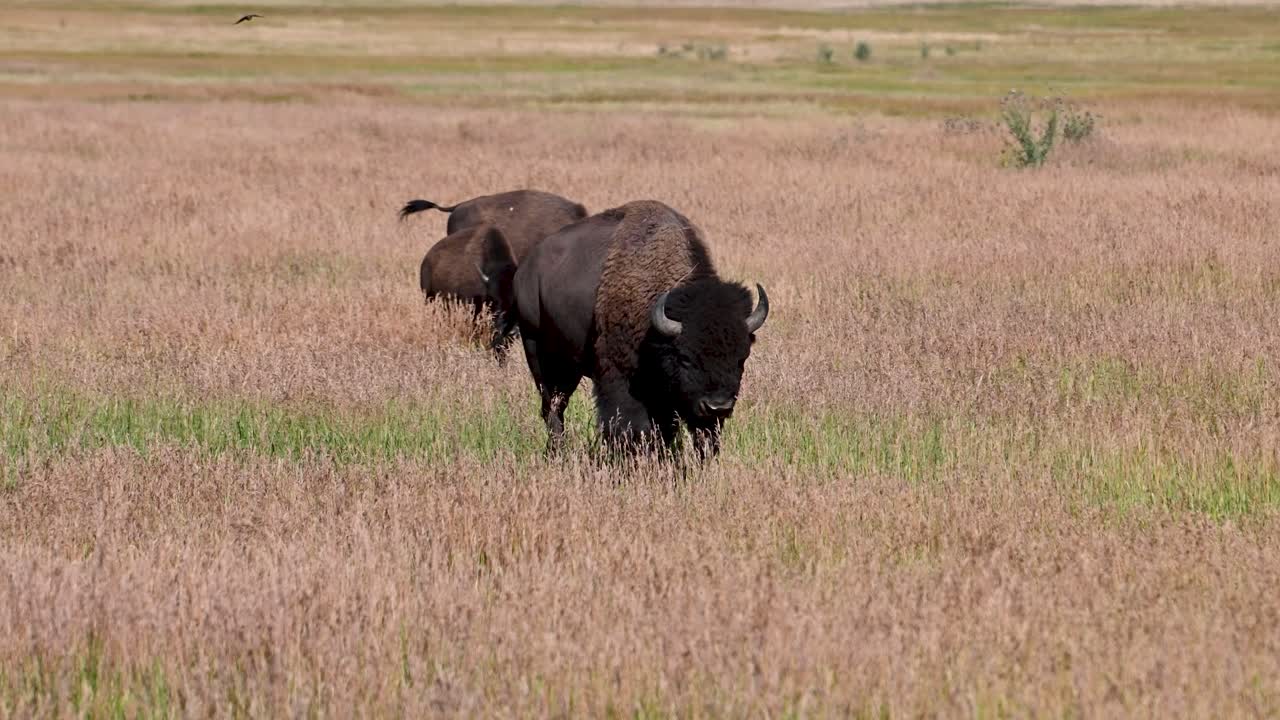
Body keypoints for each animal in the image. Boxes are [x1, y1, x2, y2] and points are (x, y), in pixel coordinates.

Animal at [483, 200, 769, 458]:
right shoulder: (622, 379)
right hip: (540, 354)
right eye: (685, 358)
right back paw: (556, 453)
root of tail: (526, 269)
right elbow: (633, 425)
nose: (717, 407)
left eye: (741, 359)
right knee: (552, 408)